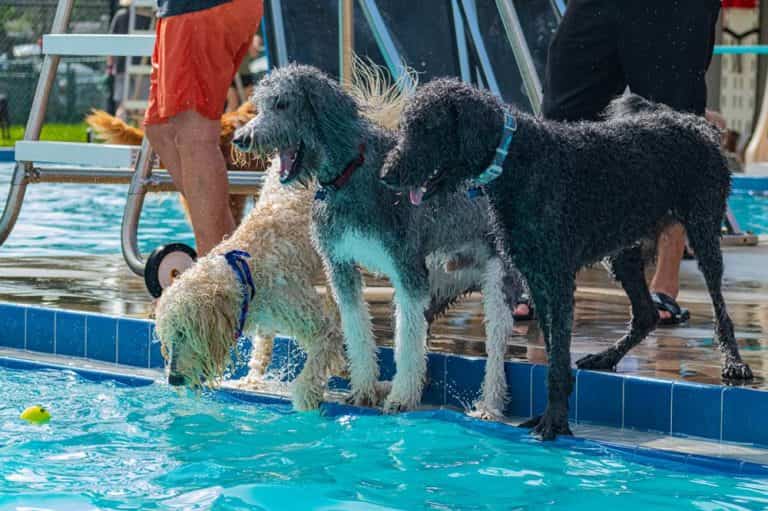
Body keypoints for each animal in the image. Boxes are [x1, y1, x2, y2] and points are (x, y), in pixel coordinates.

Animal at [232, 65, 520, 416]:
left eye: (283, 104)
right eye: (260, 105)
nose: (241, 139)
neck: (349, 174)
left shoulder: (406, 269)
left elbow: (406, 340)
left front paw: (400, 398)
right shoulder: (339, 264)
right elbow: (358, 329)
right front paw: (364, 390)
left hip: (497, 282)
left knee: (495, 347)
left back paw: (488, 405)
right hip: (439, 284)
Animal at [380, 79, 752, 440]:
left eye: (427, 128)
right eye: (406, 126)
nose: (386, 175)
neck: (515, 156)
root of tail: (693, 122)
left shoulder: (557, 278)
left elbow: (558, 359)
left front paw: (555, 421)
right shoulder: (537, 276)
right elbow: (553, 354)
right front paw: (551, 414)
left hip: (703, 231)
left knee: (720, 311)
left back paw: (734, 363)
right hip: (623, 253)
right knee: (646, 315)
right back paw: (606, 356)